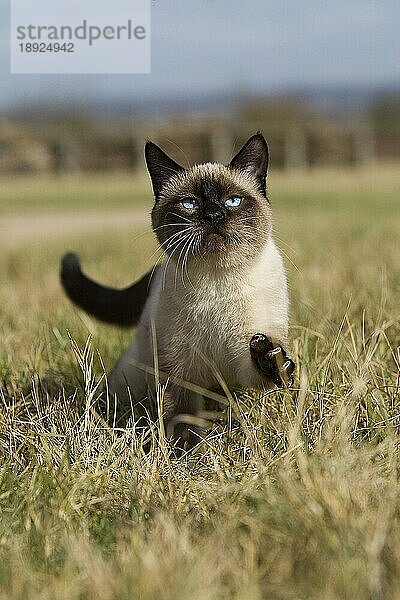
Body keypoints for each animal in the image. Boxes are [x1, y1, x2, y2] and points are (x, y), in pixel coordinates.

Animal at [61, 134, 296, 448]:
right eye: (190, 204)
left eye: (232, 201)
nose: (213, 215)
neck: (216, 281)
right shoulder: (178, 368)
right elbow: (182, 417)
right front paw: (185, 451)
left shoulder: (247, 350)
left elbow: (263, 365)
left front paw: (270, 358)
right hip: (133, 377)